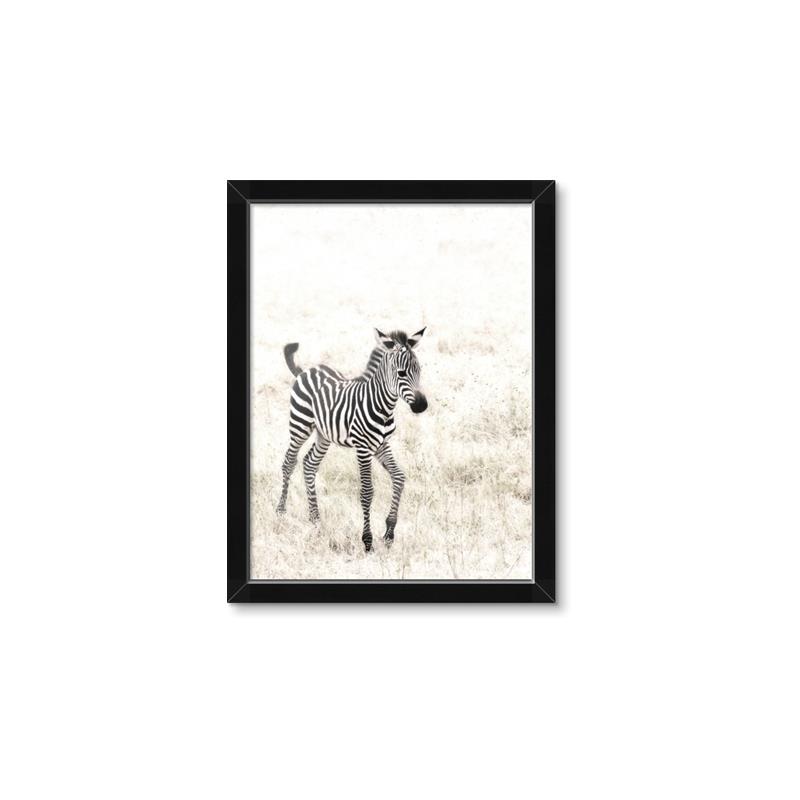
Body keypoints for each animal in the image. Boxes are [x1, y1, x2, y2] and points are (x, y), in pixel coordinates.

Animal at [275, 327, 428, 551]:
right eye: (401, 373)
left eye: (419, 370)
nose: (422, 406)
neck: (383, 407)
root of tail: (306, 371)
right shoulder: (363, 448)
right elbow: (367, 492)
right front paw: (367, 540)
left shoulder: (382, 444)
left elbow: (399, 478)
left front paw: (389, 533)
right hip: (300, 425)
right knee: (289, 462)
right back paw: (281, 511)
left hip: (324, 434)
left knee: (309, 464)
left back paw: (315, 519)